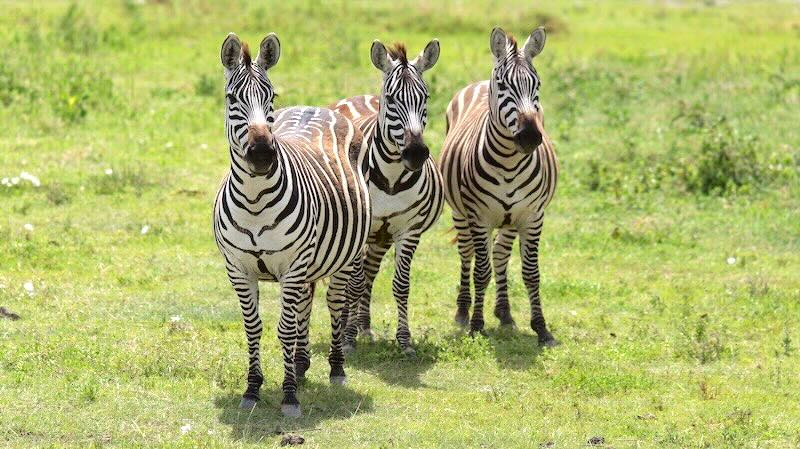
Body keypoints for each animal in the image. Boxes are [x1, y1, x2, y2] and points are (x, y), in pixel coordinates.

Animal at [213, 32, 371, 417]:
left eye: (271, 96)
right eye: (231, 98)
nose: (262, 154)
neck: (254, 201)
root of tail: (317, 107)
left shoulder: (293, 265)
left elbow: (284, 328)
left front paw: (289, 396)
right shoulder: (238, 268)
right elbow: (253, 328)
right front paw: (253, 389)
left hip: (344, 257)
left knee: (334, 304)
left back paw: (335, 368)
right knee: (305, 306)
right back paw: (299, 364)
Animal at [330, 39, 443, 355]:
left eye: (425, 97)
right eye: (392, 99)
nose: (416, 153)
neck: (392, 177)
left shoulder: (409, 230)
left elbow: (401, 285)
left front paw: (404, 341)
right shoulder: (362, 228)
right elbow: (354, 284)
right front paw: (347, 339)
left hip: (381, 237)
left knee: (369, 273)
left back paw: (364, 326)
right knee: (351, 280)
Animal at [438, 26, 559, 346]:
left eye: (537, 84)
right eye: (503, 85)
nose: (530, 136)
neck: (509, 162)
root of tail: (480, 83)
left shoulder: (532, 216)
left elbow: (531, 272)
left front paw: (541, 328)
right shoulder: (479, 216)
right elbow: (481, 272)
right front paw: (476, 325)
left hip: (509, 219)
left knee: (501, 255)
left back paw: (504, 313)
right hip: (461, 213)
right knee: (467, 254)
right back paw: (463, 311)